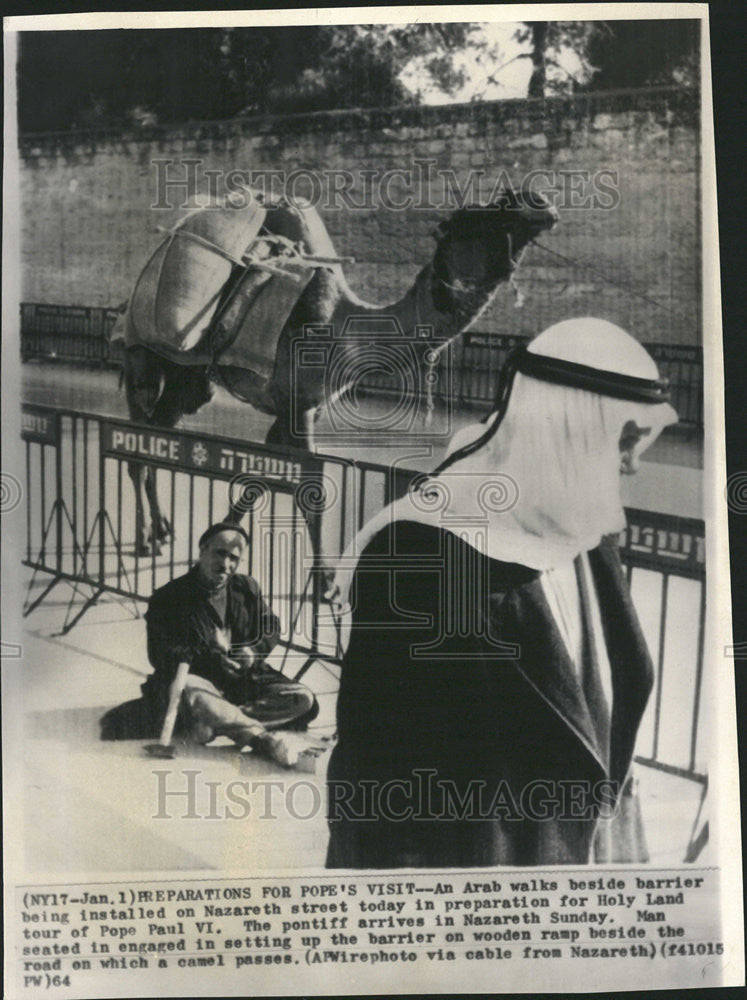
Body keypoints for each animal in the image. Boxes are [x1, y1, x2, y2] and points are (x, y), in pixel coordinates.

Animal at [121, 184, 556, 552]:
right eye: (479, 215)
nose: (538, 200)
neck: (348, 329)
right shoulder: (298, 404)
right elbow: (310, 494)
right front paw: (327, 587)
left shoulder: (300, 407)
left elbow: (259, 479)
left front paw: (226, 536)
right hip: (142, 354)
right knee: (137, 442)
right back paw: (144, 538)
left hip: (191, 378)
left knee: (161, 429)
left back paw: (162, 530)